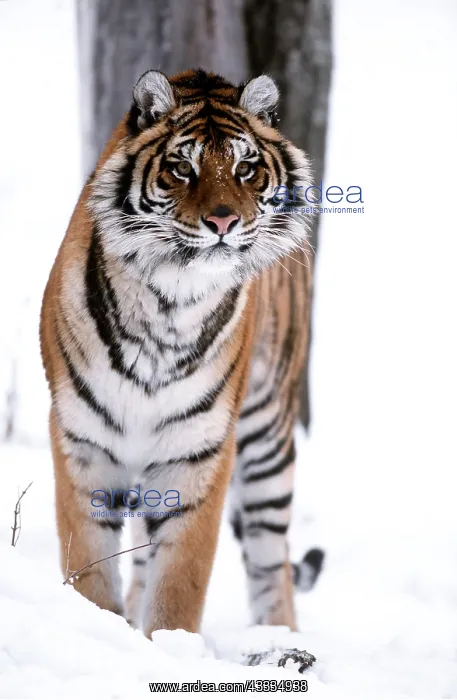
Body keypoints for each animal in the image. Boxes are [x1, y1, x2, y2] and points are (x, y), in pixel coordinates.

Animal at [40, 68, 323, 639]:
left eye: (244, 168)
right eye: (181, 168)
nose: (223, 222)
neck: (170, 303)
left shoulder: (199, 449)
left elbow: (180, 584)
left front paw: (168, 644)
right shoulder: (83, 441)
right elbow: (89, 569)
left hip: (268, 434)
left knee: (272, 562)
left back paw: (280, 640)